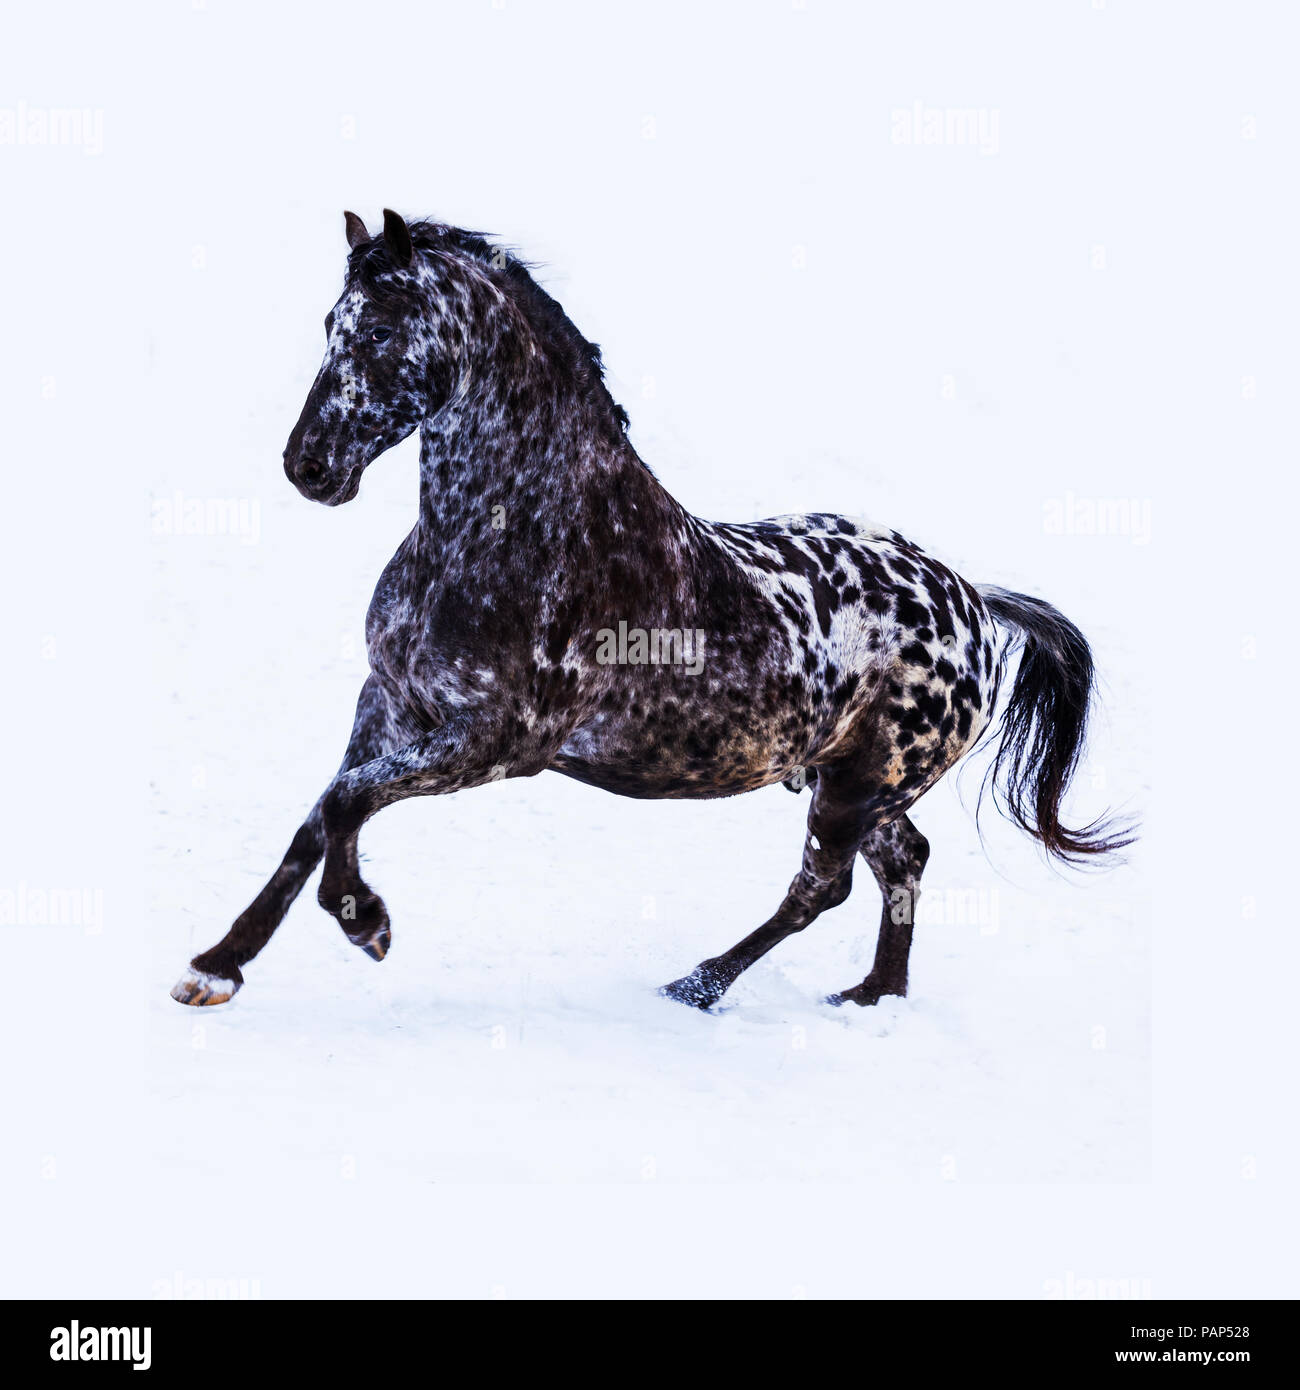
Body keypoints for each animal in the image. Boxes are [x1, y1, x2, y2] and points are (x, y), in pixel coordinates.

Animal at [171, 209, 1133, 1012]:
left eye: (376, 331)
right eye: (327, 328)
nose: (308, 466)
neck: (513, 533)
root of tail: (971, 599)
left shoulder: (496, 744)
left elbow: (346, 805)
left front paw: (365, 922)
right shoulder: (391, 703)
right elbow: (319, 816)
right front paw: (217, 967)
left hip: (859, 785)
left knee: (824, 886)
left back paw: (700, 987)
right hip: (847, 779)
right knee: (904, 861)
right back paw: (871, 997)